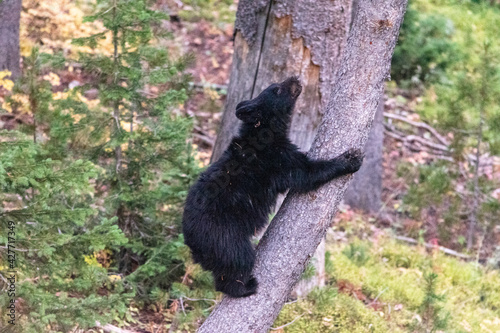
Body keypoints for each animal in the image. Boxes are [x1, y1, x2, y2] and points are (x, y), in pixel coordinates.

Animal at [182, 76, 362, 296]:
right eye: (276, 89)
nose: (295, 78)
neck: (262, 131)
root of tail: (191, 242)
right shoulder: (276, 159)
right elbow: (306, 173)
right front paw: (350, 159)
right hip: (223, 236)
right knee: (238, 260)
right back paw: (245, 287)